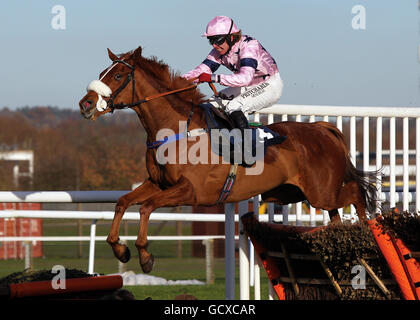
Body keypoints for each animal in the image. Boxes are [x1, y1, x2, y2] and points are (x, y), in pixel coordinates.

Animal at [78, 46, 378, 274]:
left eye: (118, 75)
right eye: (101, 74)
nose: (86, 104)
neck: (176, 130)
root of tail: (322, 128)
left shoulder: (191, 191)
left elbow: (146, 208)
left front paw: (145, 256)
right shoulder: (159, 183)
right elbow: (123, 202)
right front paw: (120, 248)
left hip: (320, 192)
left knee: (355, 193)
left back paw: (368, 235)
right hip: (301, 193)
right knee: (336, 214)